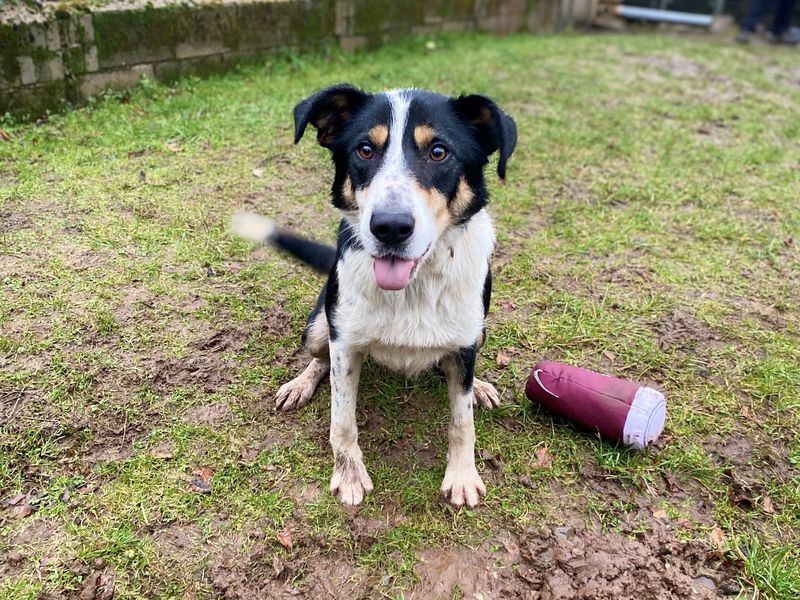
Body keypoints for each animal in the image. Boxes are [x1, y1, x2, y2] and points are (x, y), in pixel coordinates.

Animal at [234, 84, 516, 506]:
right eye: (365, 149)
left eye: (439, 152)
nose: (390, 227)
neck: (412, 287)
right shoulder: (344, 342)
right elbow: (342, 420)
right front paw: (349, 475)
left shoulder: (466, 341)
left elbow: (461, 419)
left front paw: (463, 475)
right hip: (319, 326)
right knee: (320, 359)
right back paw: (301, 384)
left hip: (478, 331)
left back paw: (477, 385)